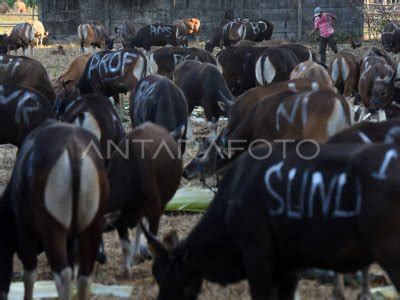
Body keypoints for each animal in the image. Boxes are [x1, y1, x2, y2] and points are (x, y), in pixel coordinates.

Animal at [0, 119, 108, 300]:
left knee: (63, 275)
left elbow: (29, 275)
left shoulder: (25, 230)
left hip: (53, 229)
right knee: (83, 276)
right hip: (92, 227)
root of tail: (73, 148)